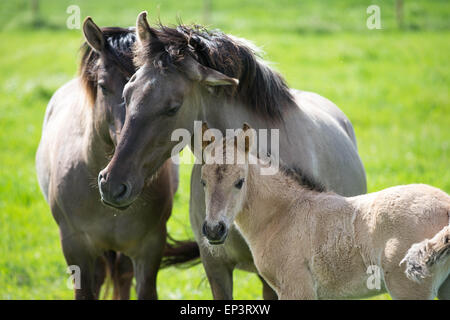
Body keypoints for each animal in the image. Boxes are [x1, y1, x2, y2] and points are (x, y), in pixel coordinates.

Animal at [201, 123, 450, 300]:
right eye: (203, 182)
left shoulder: (296, 289)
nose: (214, 230)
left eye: (240, 182)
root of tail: (446, 206)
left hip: (409, 289)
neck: (283, 214)